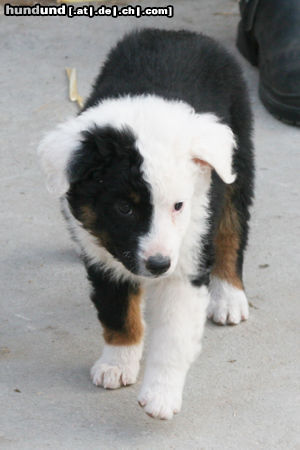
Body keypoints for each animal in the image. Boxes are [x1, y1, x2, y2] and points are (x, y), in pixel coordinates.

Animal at [37, 28, 253, 420]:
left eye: (179, 206)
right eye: (124, 208)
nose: (158, 265)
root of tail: (179, 33)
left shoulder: (187, 257)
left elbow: (173, 335)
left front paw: (161, 395)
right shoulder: (107, 257)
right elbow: (118, 313)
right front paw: (117, 364)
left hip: (236, 159)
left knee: (233, 227)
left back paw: (229, 295)